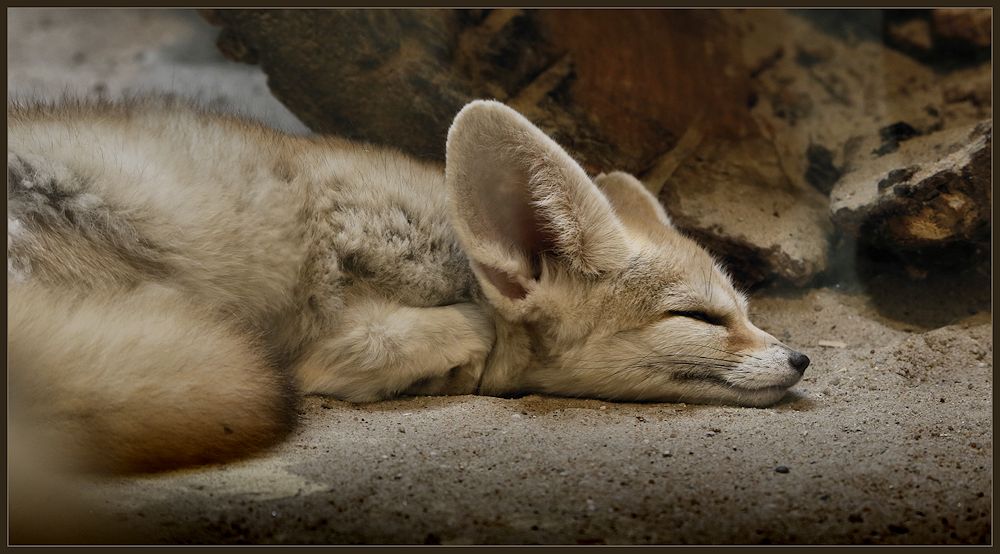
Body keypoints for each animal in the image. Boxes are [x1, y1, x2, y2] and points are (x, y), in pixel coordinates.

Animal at [7, 98, 808, 470]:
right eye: (700, 318)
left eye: (745, 312)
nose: (801, 358)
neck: (452, 253)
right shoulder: (342, 335)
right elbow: (462, 334)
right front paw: (461, 362)